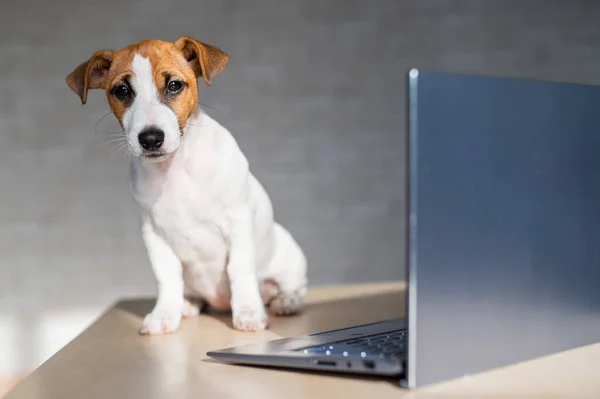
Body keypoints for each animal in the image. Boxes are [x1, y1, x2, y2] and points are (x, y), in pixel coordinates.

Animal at [65, 36, 308, 334]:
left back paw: (286, 302)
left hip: (290, 258)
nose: (150, 138)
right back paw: (187, 304)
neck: (176, 169)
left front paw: (249, 312)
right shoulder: (154, 236)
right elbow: (167, 278)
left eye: (174, 85)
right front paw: (164, 315)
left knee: (290, 287)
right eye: (122, 90)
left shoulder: (237, 222)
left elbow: (240, 270)